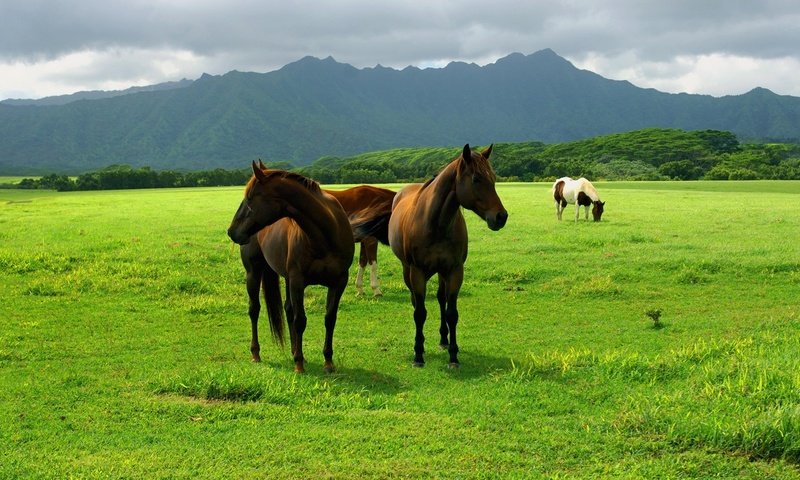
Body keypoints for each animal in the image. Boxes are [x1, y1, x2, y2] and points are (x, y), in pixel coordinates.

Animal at [231, 163, 356, 374]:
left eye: (249, 198)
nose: (231, 231)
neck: (325, 235)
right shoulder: (298, 281)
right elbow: (300, 320)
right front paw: (299, 364)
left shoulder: (339, 281)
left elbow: (330, 318)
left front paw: (328, 362)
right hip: (253, 273)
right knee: (254, 309)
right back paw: (257, 353)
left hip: (286, 277)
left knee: (288, 310)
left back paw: (294, 350)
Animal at [382, 142, 506, 368]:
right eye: (476, 179)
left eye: (493, 178)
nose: (501, 217)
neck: (435, 223)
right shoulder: (417, 272)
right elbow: (420, 313)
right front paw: (418, 354)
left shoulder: (454, 270)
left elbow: (451, 313)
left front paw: (453, 355)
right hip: (407, 270)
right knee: (415, 302)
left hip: (441, 272)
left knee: (441, 299)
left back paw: (443, 339)